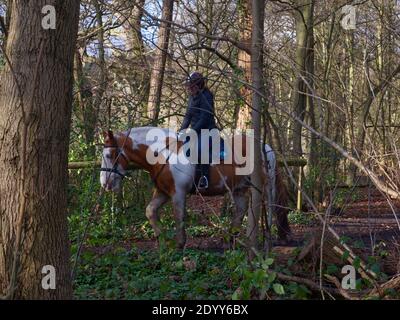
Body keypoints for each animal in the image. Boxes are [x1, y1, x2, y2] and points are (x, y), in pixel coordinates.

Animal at [98, 126, 290, 249]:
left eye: (109, 155)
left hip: (265, 186)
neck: (163, 153)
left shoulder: (178, 193)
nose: (104, 183)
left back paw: (266, 237)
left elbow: (179, 216)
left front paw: (179, 243)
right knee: (241, 209)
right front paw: (162, 238)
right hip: (239, 188)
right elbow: (150, 211)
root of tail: (267, 147)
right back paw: (231, 238)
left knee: (270, 206)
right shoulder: (163, 192)